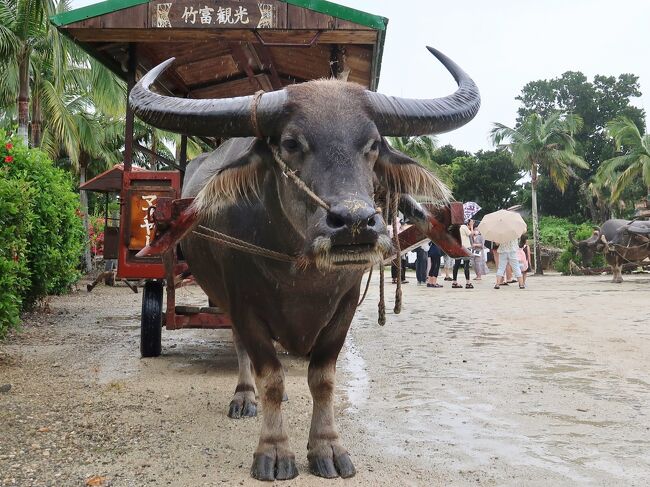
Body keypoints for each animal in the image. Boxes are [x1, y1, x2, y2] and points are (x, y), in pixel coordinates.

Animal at [129, 47, 478, 482]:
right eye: (292, 143)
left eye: (372, 144)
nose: (355, 223)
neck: (302, 271)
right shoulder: (244, 304)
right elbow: (272, 378)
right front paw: (274, 450)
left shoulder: (343, 307)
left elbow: (323, 378)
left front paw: (327, 447)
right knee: (240, 348)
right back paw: (244, 397)